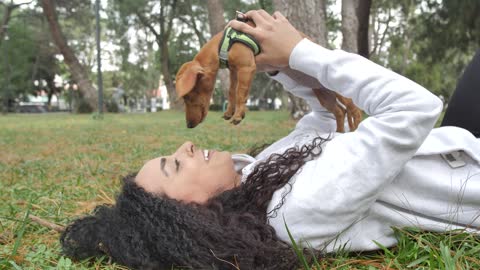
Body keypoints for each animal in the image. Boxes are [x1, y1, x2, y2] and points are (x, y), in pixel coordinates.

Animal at [175, 16, 360, 131]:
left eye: (188, 96)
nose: (188, 125)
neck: (223, 44)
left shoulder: (247, 68)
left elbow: (241, 93)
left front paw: (238, 114)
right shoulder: (234, 71)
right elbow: (232, 92)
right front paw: (230, 111)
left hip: (338, 91)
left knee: (354, 110)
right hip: (323, 95)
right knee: (339, 112)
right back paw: (339, 134)